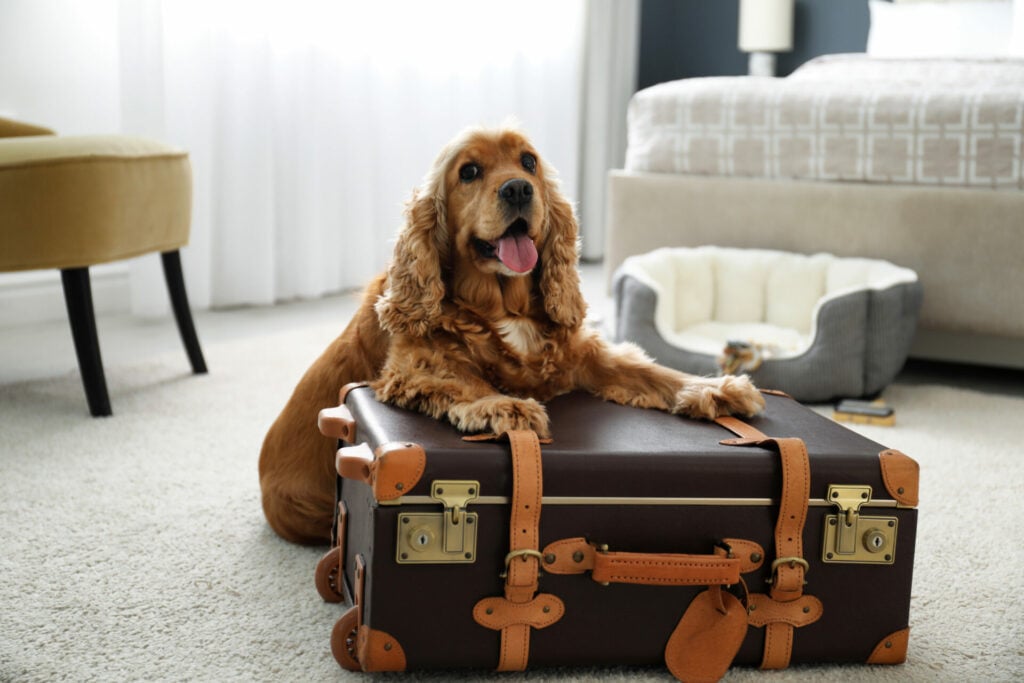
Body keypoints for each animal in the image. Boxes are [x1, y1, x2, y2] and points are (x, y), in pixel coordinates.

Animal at [260, 126, 765, 544]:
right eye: (469, 171)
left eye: (529, 162)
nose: (519, 188)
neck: (504, 305)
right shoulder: (414, 368)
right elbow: (466, 381)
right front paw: (506, 406)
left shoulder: (581, 355)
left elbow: (651, 371)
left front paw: (715, 388)